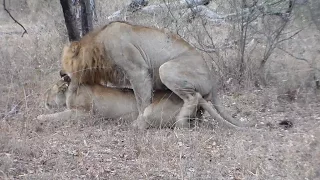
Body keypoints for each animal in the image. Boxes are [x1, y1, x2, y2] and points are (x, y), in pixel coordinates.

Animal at [61, 20, 246, 128]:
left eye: (65, 62)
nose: (61, 73)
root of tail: (212, 80)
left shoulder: (138, 71)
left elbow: (142, 102)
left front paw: (139, 123)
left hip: (166, 68)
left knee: (193, 97)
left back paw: (180, 123)